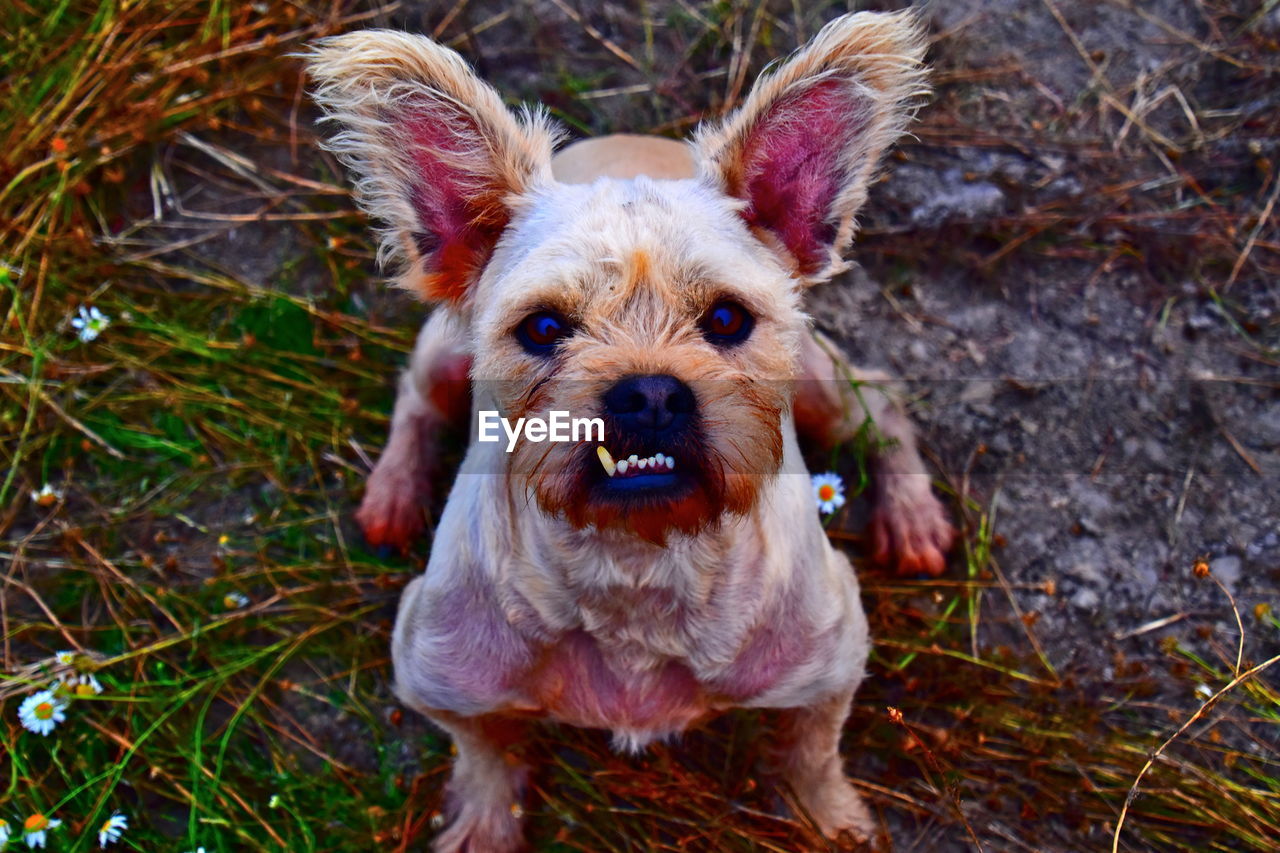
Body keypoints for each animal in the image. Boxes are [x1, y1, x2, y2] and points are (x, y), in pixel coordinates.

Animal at [307, 9, 952, 845]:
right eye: (544, 327)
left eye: (727, 319)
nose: (648, 394)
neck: (636, 572)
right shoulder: (436, 672)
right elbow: (485, 754)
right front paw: (484, 824)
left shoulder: (831, 662)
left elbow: (812, 751)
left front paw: (830, 818)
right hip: (443, 353)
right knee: (414, 398)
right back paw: (392, 490)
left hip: (820, 384)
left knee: (884, 399)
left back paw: (912, 515)